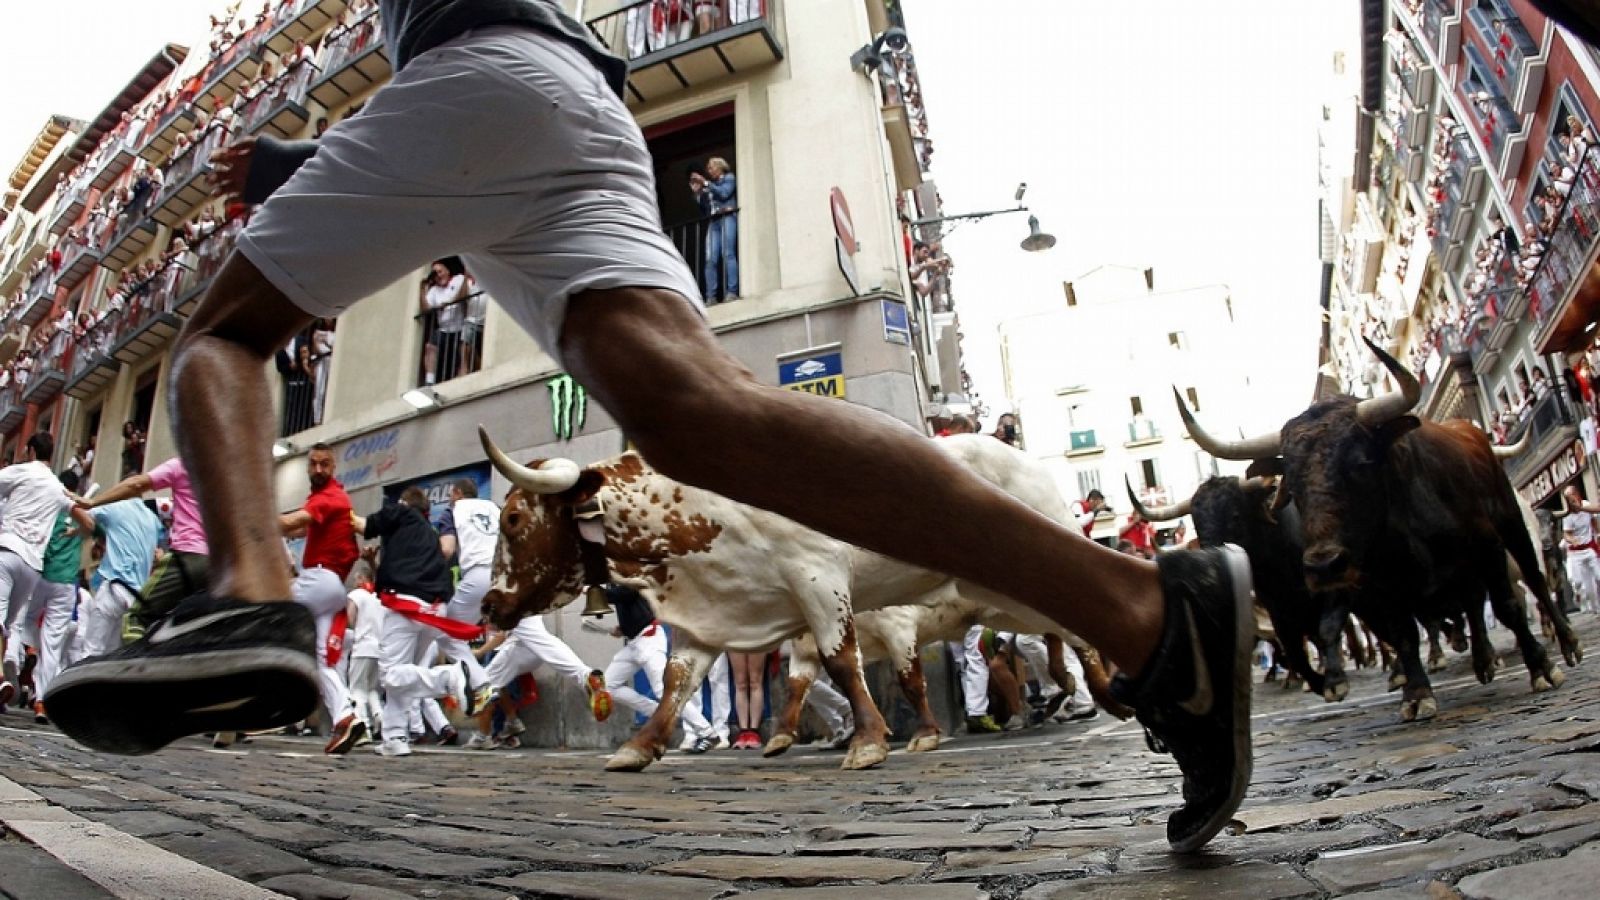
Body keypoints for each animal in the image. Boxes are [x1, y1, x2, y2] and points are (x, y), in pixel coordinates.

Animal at [1184, 336, 1580, 720]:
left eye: (1360, 463)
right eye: (1291, 485)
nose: (1323, 567)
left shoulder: (1486, 546)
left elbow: (1507, 606)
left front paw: (1541, 667)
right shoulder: (1376, 583)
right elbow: (1401, 632)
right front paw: (1416, 693)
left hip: (1510, 524)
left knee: (1534, 583)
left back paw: (1565, 643)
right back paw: (1479, 660)